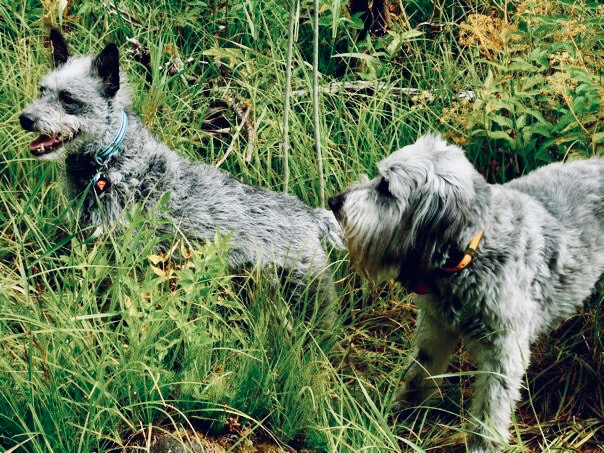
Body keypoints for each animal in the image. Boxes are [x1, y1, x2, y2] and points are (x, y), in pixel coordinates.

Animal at [330, 133, 604, 448]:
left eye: (386, 188)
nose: (333, 201)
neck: (474, 252)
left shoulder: (504, 353)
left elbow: (489, 413)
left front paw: (482, 446)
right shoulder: (435, 328)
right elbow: (419, 376)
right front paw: (404, 413)